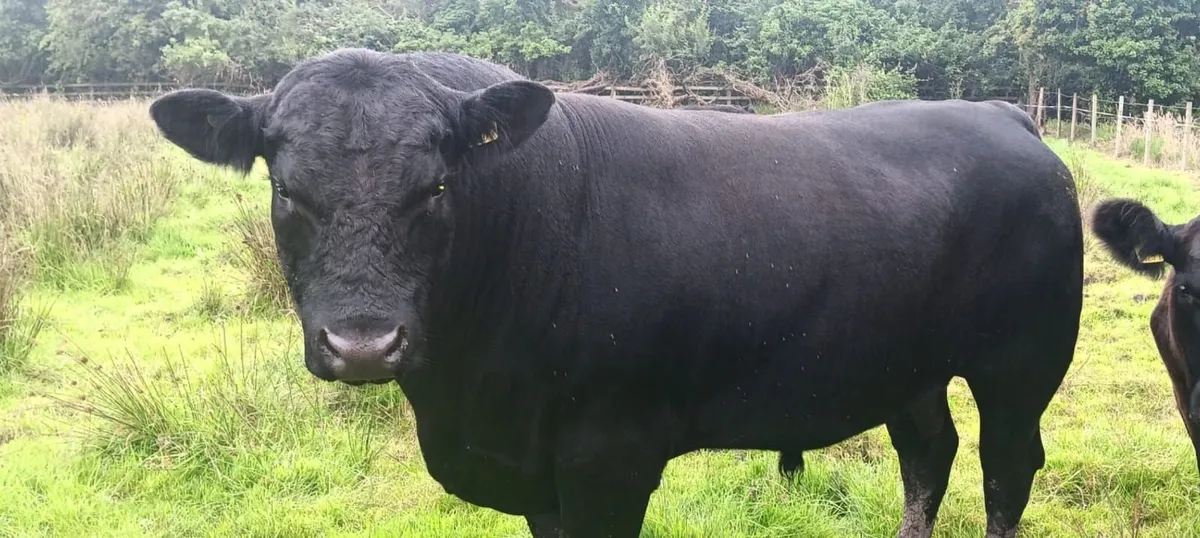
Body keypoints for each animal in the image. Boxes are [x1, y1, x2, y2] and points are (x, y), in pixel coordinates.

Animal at [147, 48, 1084, 538]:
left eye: (437, 188)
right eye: (285, 191)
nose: (364, 343)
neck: (467, 400)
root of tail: (1001, 113)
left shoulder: (609, 458)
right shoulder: (535, 477)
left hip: (1021, 367)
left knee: (1005, 468)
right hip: (907, 364)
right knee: (927, 452)